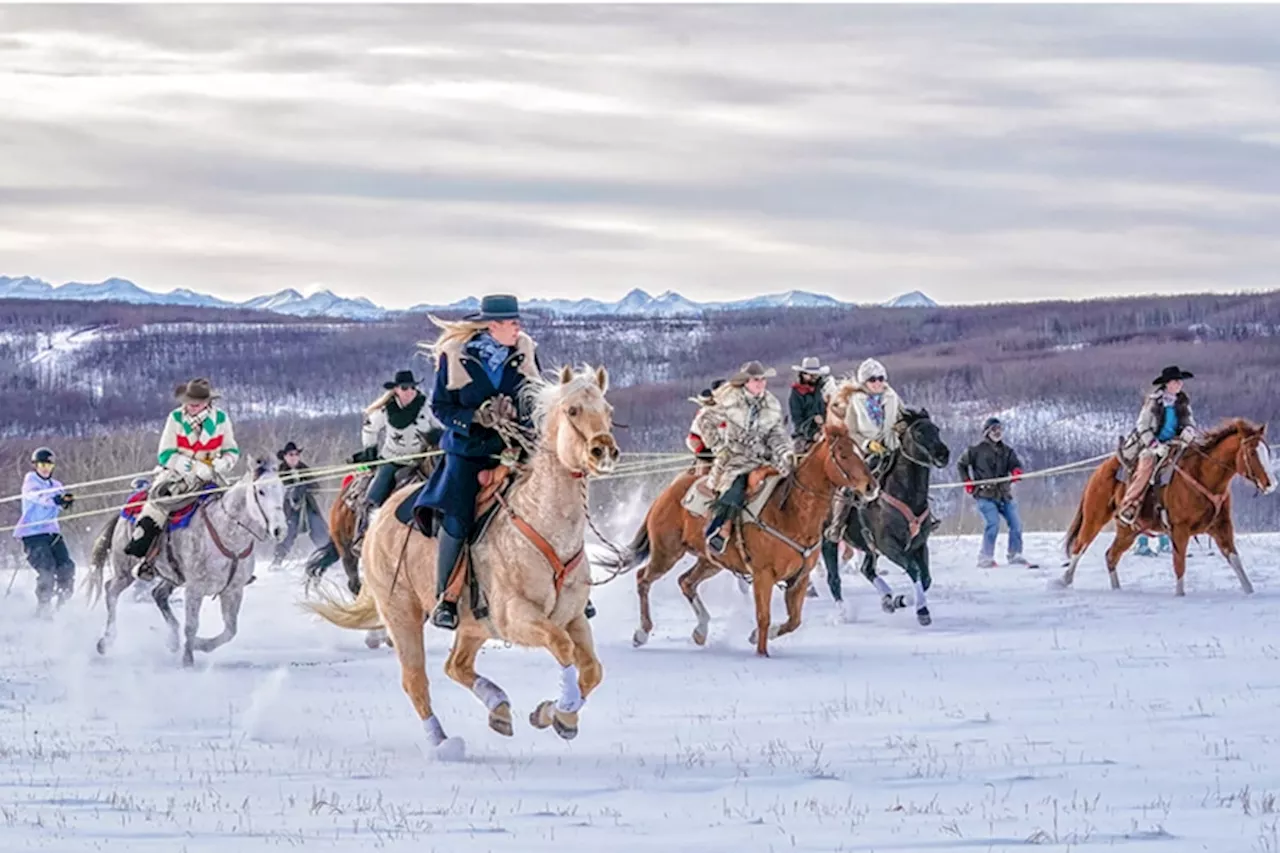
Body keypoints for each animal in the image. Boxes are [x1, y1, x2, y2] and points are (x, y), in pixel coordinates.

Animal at [89, 458, 288, 666]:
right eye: (261, 491)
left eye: (283, 490)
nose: (279, 530)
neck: (227, 534)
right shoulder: (195, 589)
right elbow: (192, 625)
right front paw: (188, 660)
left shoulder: (233, 591)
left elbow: (230, 630)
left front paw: (199, 644)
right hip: (124, 571)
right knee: (111, 591)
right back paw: (106, 641)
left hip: (171, 576)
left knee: (158, 594)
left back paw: (173, 640)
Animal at [304, 366, 619, 758]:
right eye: (573, 409)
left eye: (607, 410)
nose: (603, 451)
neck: (542, 522)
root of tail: (381, 516)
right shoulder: (518, 617)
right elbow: (561, 647)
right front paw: (562, 713)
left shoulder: (574, 617)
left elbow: (592, 670)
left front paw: (553, 714)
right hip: (401, 613)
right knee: (415, 680)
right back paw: (442, 742)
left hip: (472, 625)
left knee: (456, 666)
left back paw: (498, 708)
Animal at [609, 389, 880, 653]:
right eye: (842, 454)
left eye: (860, 450)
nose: (871, 487)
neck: (791, 513)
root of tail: (667, 493)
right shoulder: (763, 576)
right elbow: (763, 617)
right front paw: (762, 652)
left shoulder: (799, 579)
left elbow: (793, 621)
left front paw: (754, 637)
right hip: (666, 552)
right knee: (643, 578)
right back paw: (642, 632)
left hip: (710, 561)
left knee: (686, 582)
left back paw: (700, 631)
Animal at [819, 409, 952, 622]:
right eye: (919, 432)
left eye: (936, 429)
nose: (943, 454)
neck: (906, 497)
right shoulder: (889, 546)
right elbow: (914, 569)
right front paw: (922, 610)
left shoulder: (919, 545)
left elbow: (925, 578)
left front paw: (902, 600)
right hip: (828, 541)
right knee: (834, 578)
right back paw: (843, 614)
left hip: (869, 547)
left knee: (867, 570)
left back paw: (888, 599)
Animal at [1054, 417, 1274, 591]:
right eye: (1252, 453)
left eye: (1267, 451)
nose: (1271, 484)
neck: (1202, 476)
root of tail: (1102, 468)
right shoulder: (1179, 530)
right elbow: (1179, 565)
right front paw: (1180, 596)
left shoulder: (1221, 527)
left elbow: (1235, 561)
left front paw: (1249, 591)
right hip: (1095, 517)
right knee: (1080, 546)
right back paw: (1062, 582)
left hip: (1129, 530)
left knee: (1111, 555)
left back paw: (1117, 589)